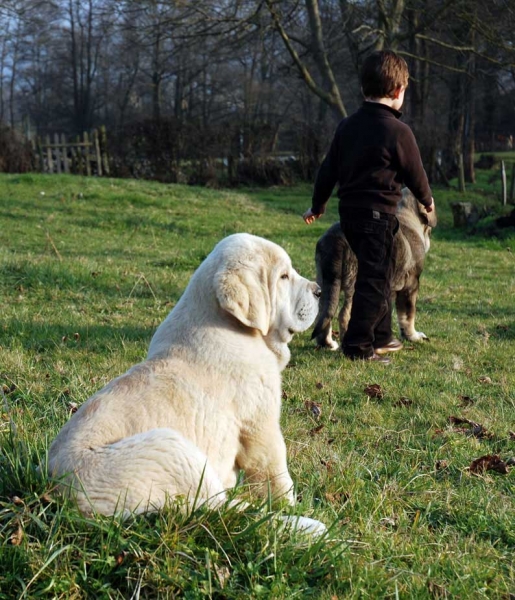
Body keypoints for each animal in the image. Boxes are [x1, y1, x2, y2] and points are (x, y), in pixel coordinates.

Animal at [50, 232, 328, 536]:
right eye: (283, 277)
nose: (319, 291)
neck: (231, 326)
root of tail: (57, 496)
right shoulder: (260, 424)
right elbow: (276, 475)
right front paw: (292, 505)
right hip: (170, 449)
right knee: (225, 511)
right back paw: (309, 526)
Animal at [312, 188, 438, 350]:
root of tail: (336, 240)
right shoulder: (411, 285)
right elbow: (408, 315)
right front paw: (414, 337)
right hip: (354, 285)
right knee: (344, 315)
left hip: (325, 281)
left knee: (324, 313)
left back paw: (327, 344)